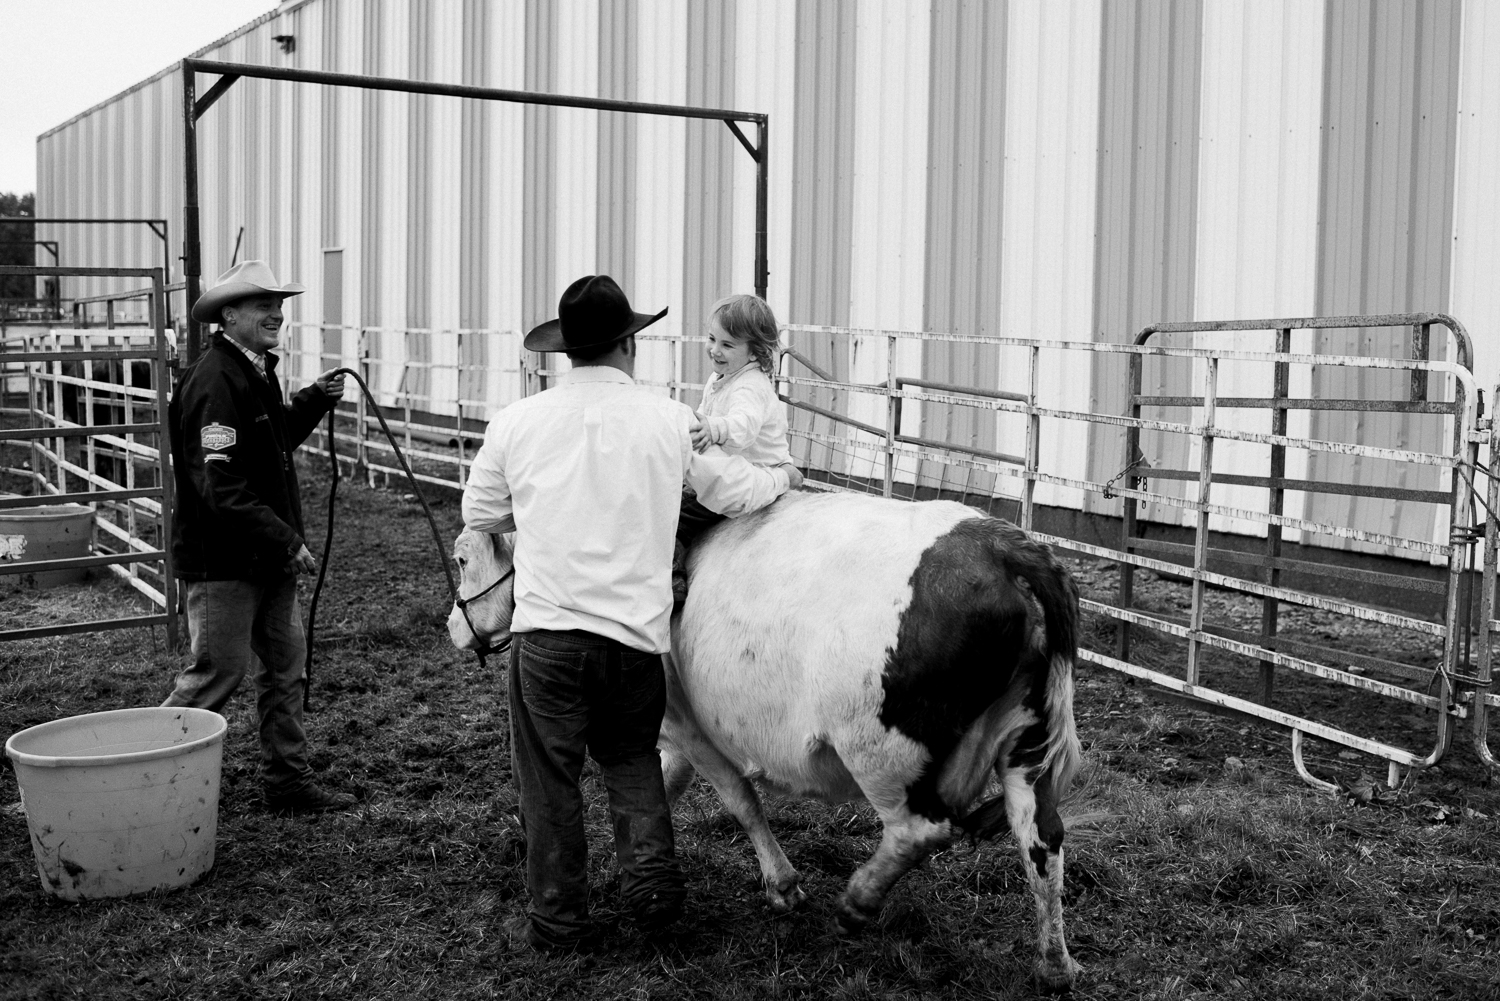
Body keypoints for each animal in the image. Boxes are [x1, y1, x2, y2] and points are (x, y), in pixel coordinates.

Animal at [444, 489, 1080, 990]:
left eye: (462, 556)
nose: (455, 626)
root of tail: (1004, 547)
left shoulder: (689, 726)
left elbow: (737, 800)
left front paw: (783, 884)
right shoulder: (674, 729)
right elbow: (661, 790)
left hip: (882, 753)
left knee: (919, 830)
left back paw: (858, 900)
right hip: (1025, 745)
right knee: (1041, 839)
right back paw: (1055, 963)